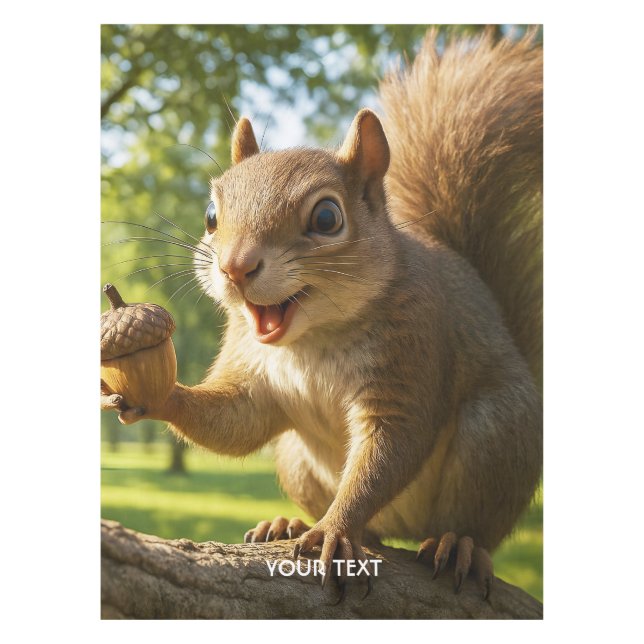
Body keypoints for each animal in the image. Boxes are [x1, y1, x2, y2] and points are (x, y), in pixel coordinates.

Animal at [102, 30, 542, 599]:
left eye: (328, 217)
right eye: (211, 216)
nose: (234, 266)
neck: (311, 339)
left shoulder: (414, 350)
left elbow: (389, 448)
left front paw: (334, 529)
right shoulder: (250, 367)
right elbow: (234, 419)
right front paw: (158, 394)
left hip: (497, 436)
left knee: (477, 524)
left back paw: (457, 545)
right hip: (294, 458)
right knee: (370, 527)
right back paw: (290, 522)